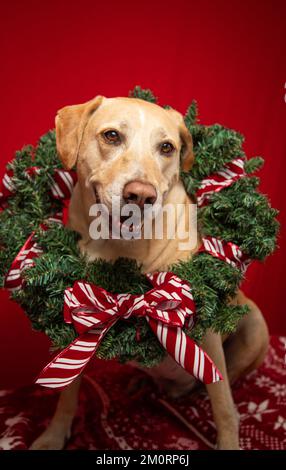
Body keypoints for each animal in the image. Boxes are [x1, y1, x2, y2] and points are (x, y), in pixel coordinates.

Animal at [30, 93, 270, 450]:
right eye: (112, 136)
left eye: (167, 147)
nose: (141, 195)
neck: (124, 252)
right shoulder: (77, 317)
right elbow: (67, 393)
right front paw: (53, 436)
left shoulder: (204, 328)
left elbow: (223, 403)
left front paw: (228, 442)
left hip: (254, 324)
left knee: (212, 385)